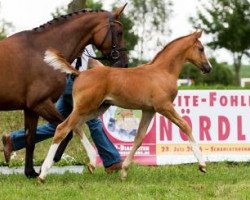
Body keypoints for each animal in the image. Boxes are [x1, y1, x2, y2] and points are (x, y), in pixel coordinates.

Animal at [38, 30, 211, 181]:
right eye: (201, 49)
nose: (208, 68)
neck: (162, 72)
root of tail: (80, 73)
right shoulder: (164, 107)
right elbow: (185, 126)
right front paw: (202, 165)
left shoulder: (148, 110)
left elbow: (139, 138)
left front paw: (123, 171)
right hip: (85, 107)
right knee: (62, 128)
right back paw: (42, 174)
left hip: (96, 108)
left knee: (75, 126)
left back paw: (92, 162)